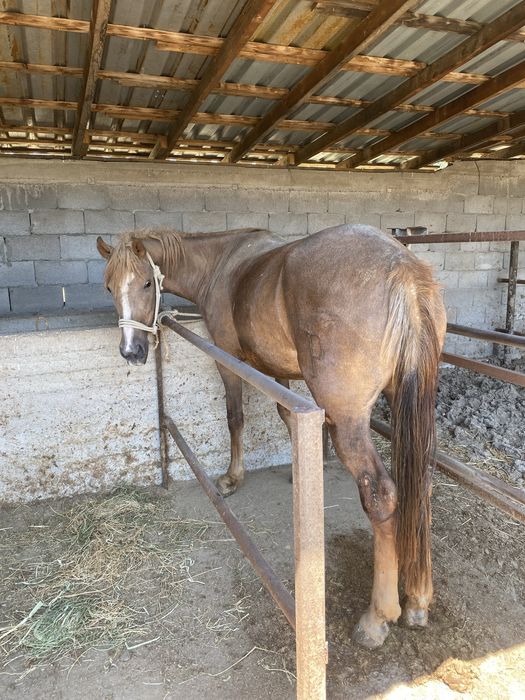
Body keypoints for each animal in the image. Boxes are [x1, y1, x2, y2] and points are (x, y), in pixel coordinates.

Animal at [97, 224, 446, 649]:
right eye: (109, 286)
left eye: (147, 283)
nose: (131, 351)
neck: (222, 263)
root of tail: (404, 272)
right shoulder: (280, 369)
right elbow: (285, 415)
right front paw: (300, 474)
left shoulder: (229, 361)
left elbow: (235, 417)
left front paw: (232, 478)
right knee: (420, 483)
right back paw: (417, 599)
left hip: (350, 424)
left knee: (382, 496)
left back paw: (377, 618)